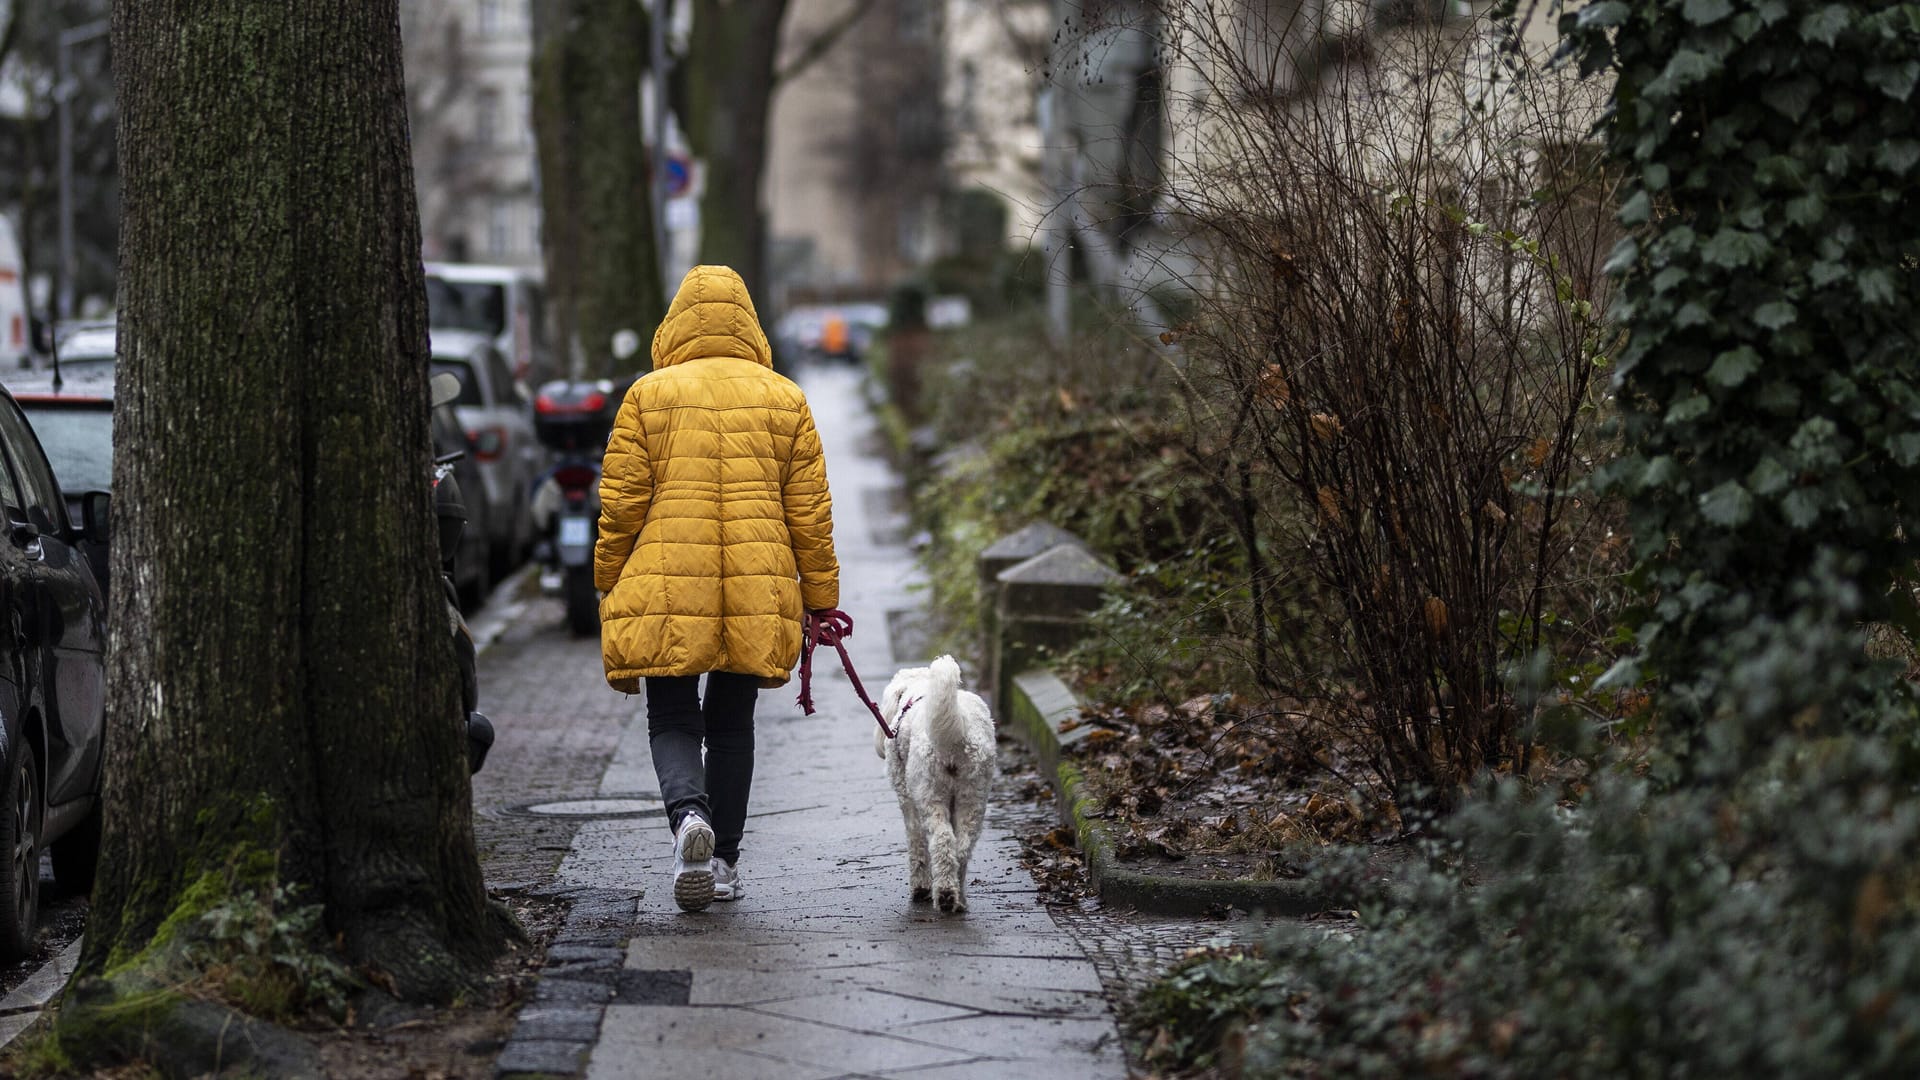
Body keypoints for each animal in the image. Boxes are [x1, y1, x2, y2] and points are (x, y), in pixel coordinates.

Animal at [879, 657, 998, 907]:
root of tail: (957, 737)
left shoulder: (907, 799)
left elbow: (917, 845)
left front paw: (921, 887)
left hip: (929, 793)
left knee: (942, 840)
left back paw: (943, 894)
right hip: (973, 796)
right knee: (961, 846)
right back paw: (957, 898)